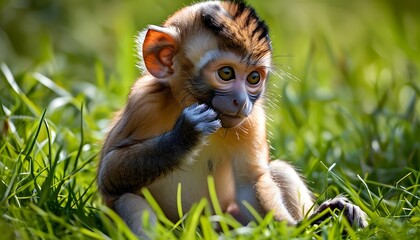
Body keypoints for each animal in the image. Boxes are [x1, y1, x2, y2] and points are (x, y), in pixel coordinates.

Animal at [97, 0, 366, 236]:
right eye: (226, 73)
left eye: (254, 78)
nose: (242, 101)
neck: (183, 103)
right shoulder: (142, 104)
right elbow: (108, 175)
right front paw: (185, 135)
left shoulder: (252, 121)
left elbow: (250, 182)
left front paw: (303, 227)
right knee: (129, 200)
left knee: (279, 170)